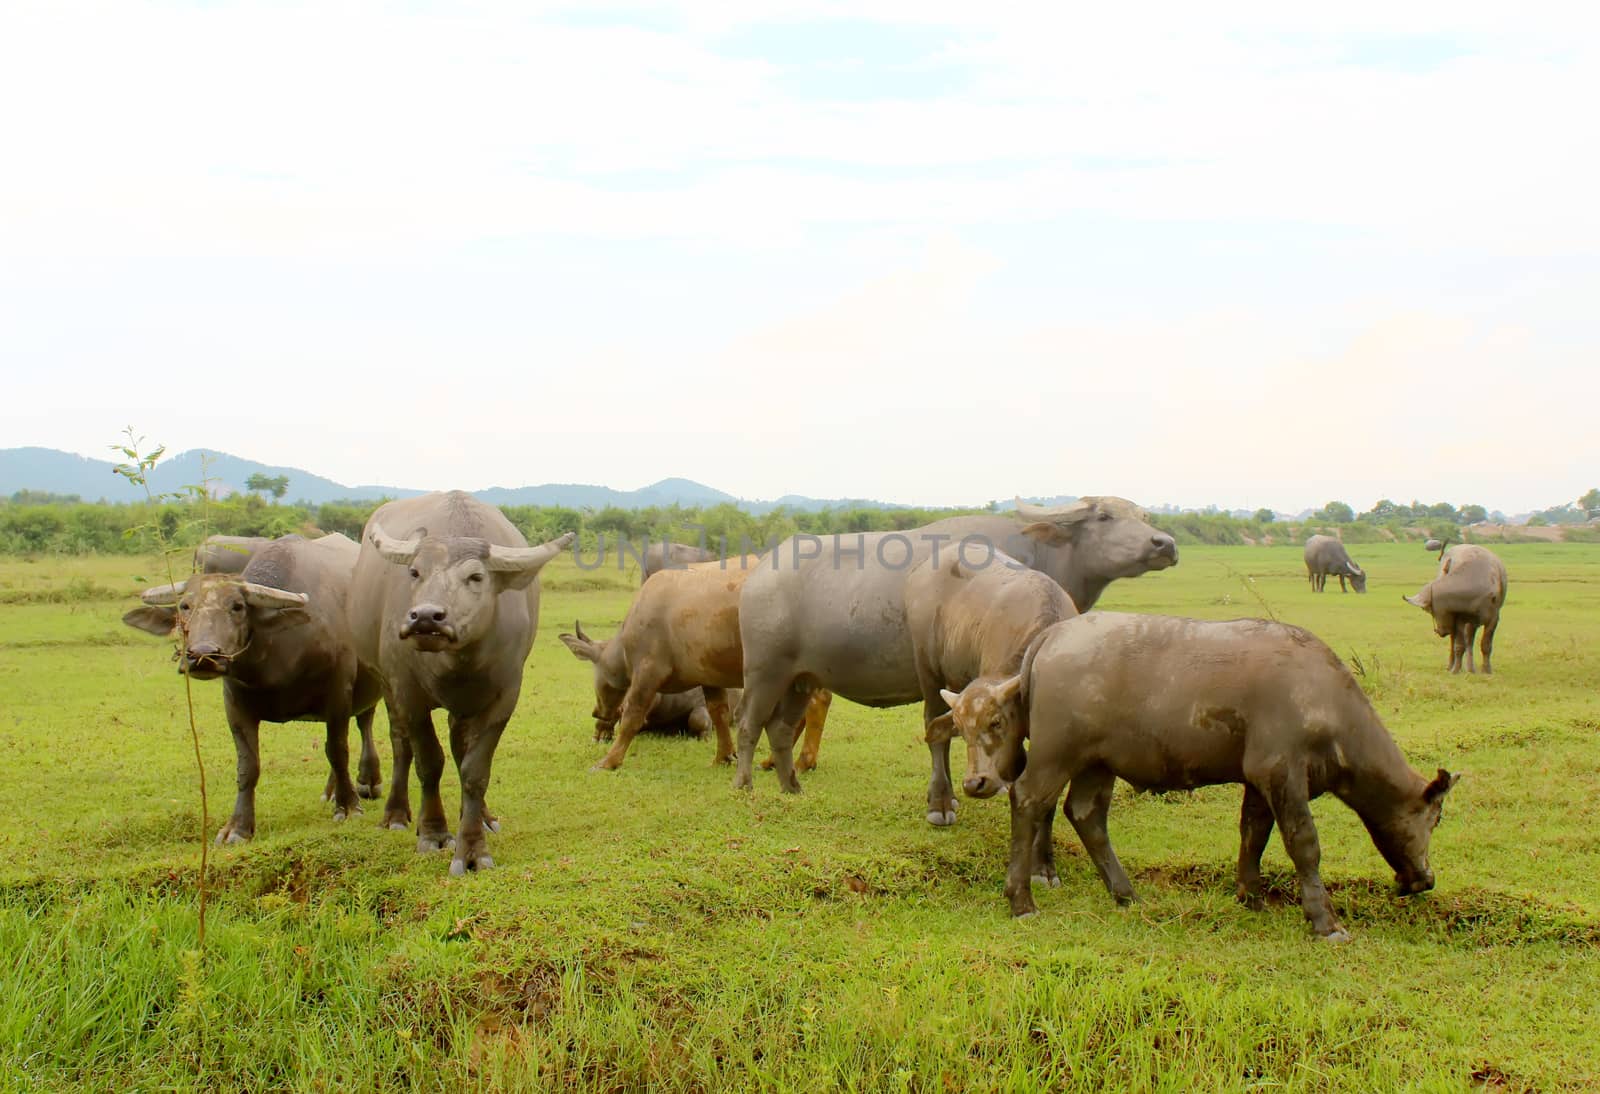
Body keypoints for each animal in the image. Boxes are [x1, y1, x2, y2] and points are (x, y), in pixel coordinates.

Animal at [122, 534, 384, 844]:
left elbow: (337, 750)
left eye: (237, 606)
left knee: (364, 724)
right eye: (185, 606)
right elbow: (248, 766)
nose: (203, 655)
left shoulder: (339, 694)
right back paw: (331, 792)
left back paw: (367, 783)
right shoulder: (236, 706)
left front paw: (349, 807)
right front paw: (237, 827)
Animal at [350, 492, 576, 876]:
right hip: (385, 683)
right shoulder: (408, 693)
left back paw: (482, 815)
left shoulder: (503, 698)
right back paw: (396, 814)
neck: (457, 661)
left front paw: (472, 847)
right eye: (415, 572)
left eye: (475, 576)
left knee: (459, 747)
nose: (426, 617)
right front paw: (434, 834)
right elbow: (428, 761)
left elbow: (474, 771)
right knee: (401, 743)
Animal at [732, 499, 1177, 818]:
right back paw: (743, 785)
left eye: (1144, 515)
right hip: (763, 672)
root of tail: (760, 573)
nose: (1165, 544)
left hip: (800, 678)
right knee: (749, 722)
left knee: (781, 729)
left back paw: (791, 787)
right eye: (1104, 515)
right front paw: (943, 801)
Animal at [947, 614, 1465, 940]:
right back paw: (1021, 900)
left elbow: (1254, 833)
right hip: (1057, 754)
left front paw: (1251, 896)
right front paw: (1325, 921)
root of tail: (1053, 636)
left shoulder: (1258, 779)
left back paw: (1125, 893)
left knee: (1086, 814)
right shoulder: (1281, 770)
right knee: (1029, 800)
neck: (1324, 698)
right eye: (1436, 818)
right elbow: (1303, 843)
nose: (1425, 879)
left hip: (1098, 763)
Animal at [1408, 543, 1504, 671]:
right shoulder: (1458, 619)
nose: (1439, 631)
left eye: (1429, 610)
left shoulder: (1493, 618)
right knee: (1456, 641)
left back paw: (1471, 669)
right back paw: (1452, 665)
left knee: (1469, 640)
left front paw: (1486, 670)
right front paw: (1456, 669)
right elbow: (1459, 645)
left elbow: (1486, 645)